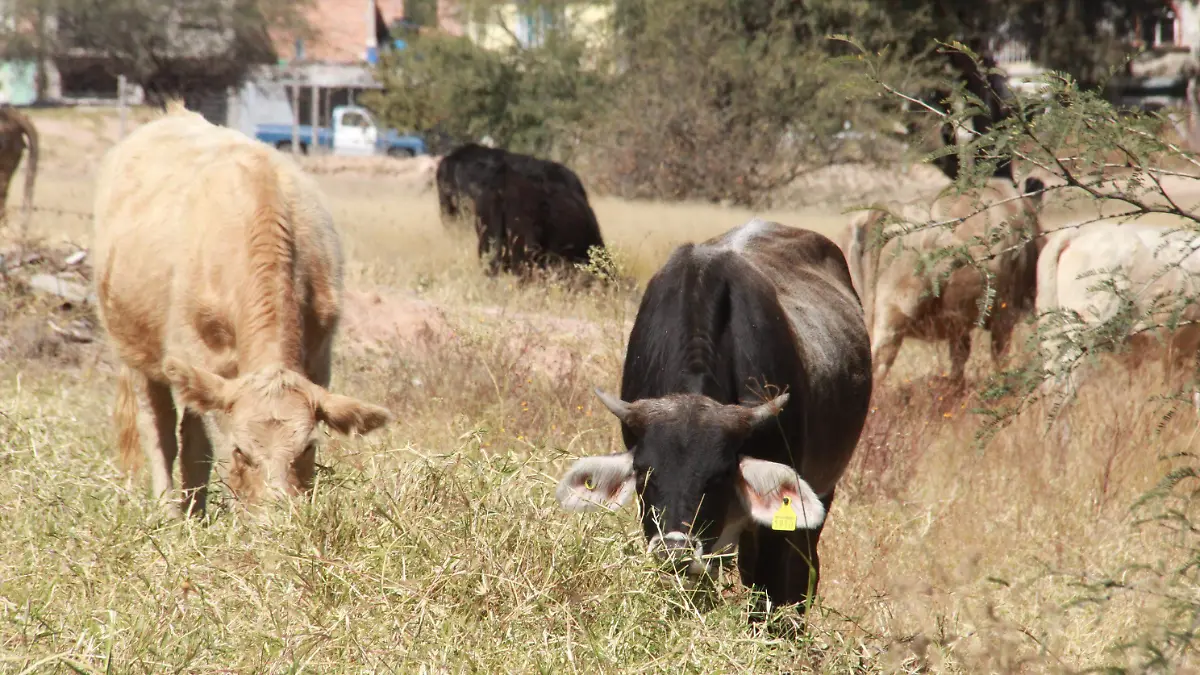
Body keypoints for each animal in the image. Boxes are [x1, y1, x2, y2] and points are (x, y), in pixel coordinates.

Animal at [92, 105, 392, 518]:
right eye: (239, 451)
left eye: (307, 448)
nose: (275, 521)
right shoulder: (198, 365)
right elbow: (197, 447)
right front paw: (197, 516)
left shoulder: (319, 360)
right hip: (135, 352)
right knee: (159, 429)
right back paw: (170, 508)